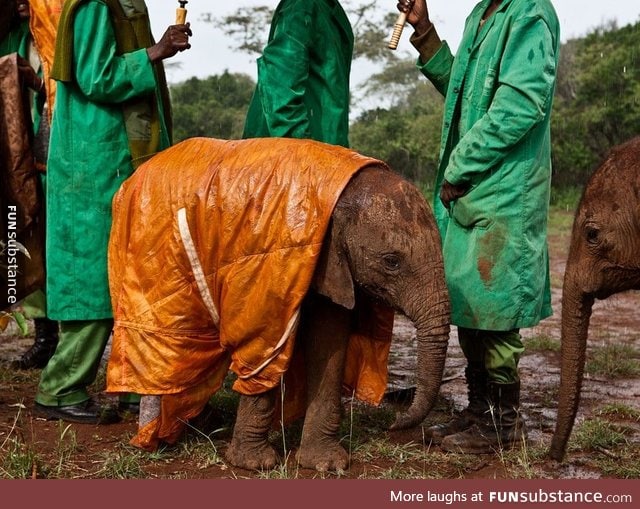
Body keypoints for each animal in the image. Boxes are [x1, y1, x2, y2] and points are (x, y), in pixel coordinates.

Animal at [106, 137, 450, 470]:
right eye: (392, 261)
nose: (393, 423)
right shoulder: (268, 265)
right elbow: (264, 343)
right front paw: (254, 464)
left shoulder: (331, 263)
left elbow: (329, 340)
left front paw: (326, 464)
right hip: (147, 257)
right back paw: (157, 435)